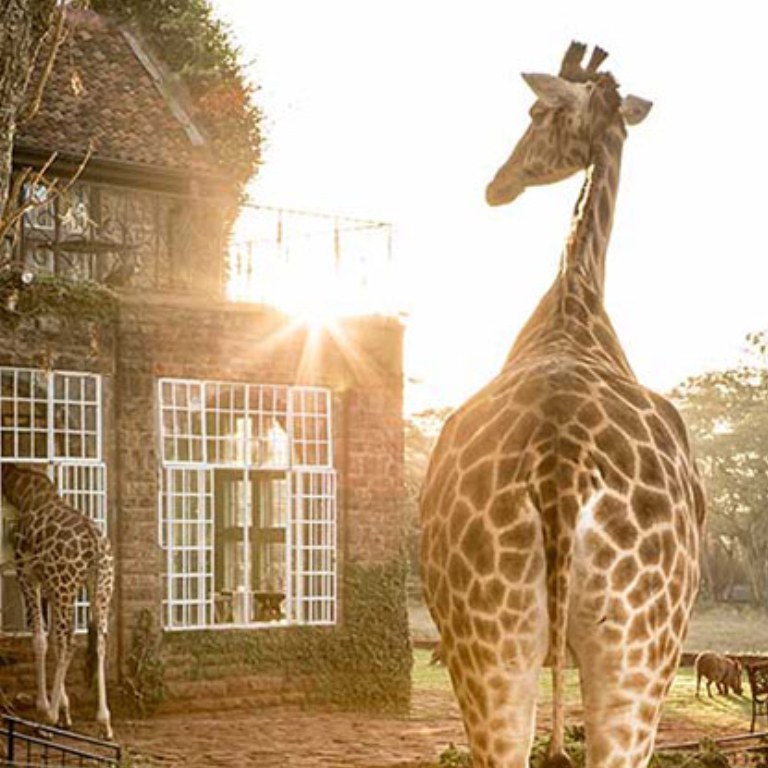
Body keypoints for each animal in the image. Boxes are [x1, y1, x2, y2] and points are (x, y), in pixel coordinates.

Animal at [1, 462, 113, 739]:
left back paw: (47, 718)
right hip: (101, 587)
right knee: (99, 642)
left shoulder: (27, 574)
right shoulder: (48, 585)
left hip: (65, 587)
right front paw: (65, 711)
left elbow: (40, 640)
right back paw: (104, 722)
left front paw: (48, 709)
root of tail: (94, 541)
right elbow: (51, 638)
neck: (23, 493)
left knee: (69, 644)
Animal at [420, 42, 704, 768]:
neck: (573, 303)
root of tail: (562, 471)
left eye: (535, 114)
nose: (497, 184)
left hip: (496, 646)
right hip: (631, 655)